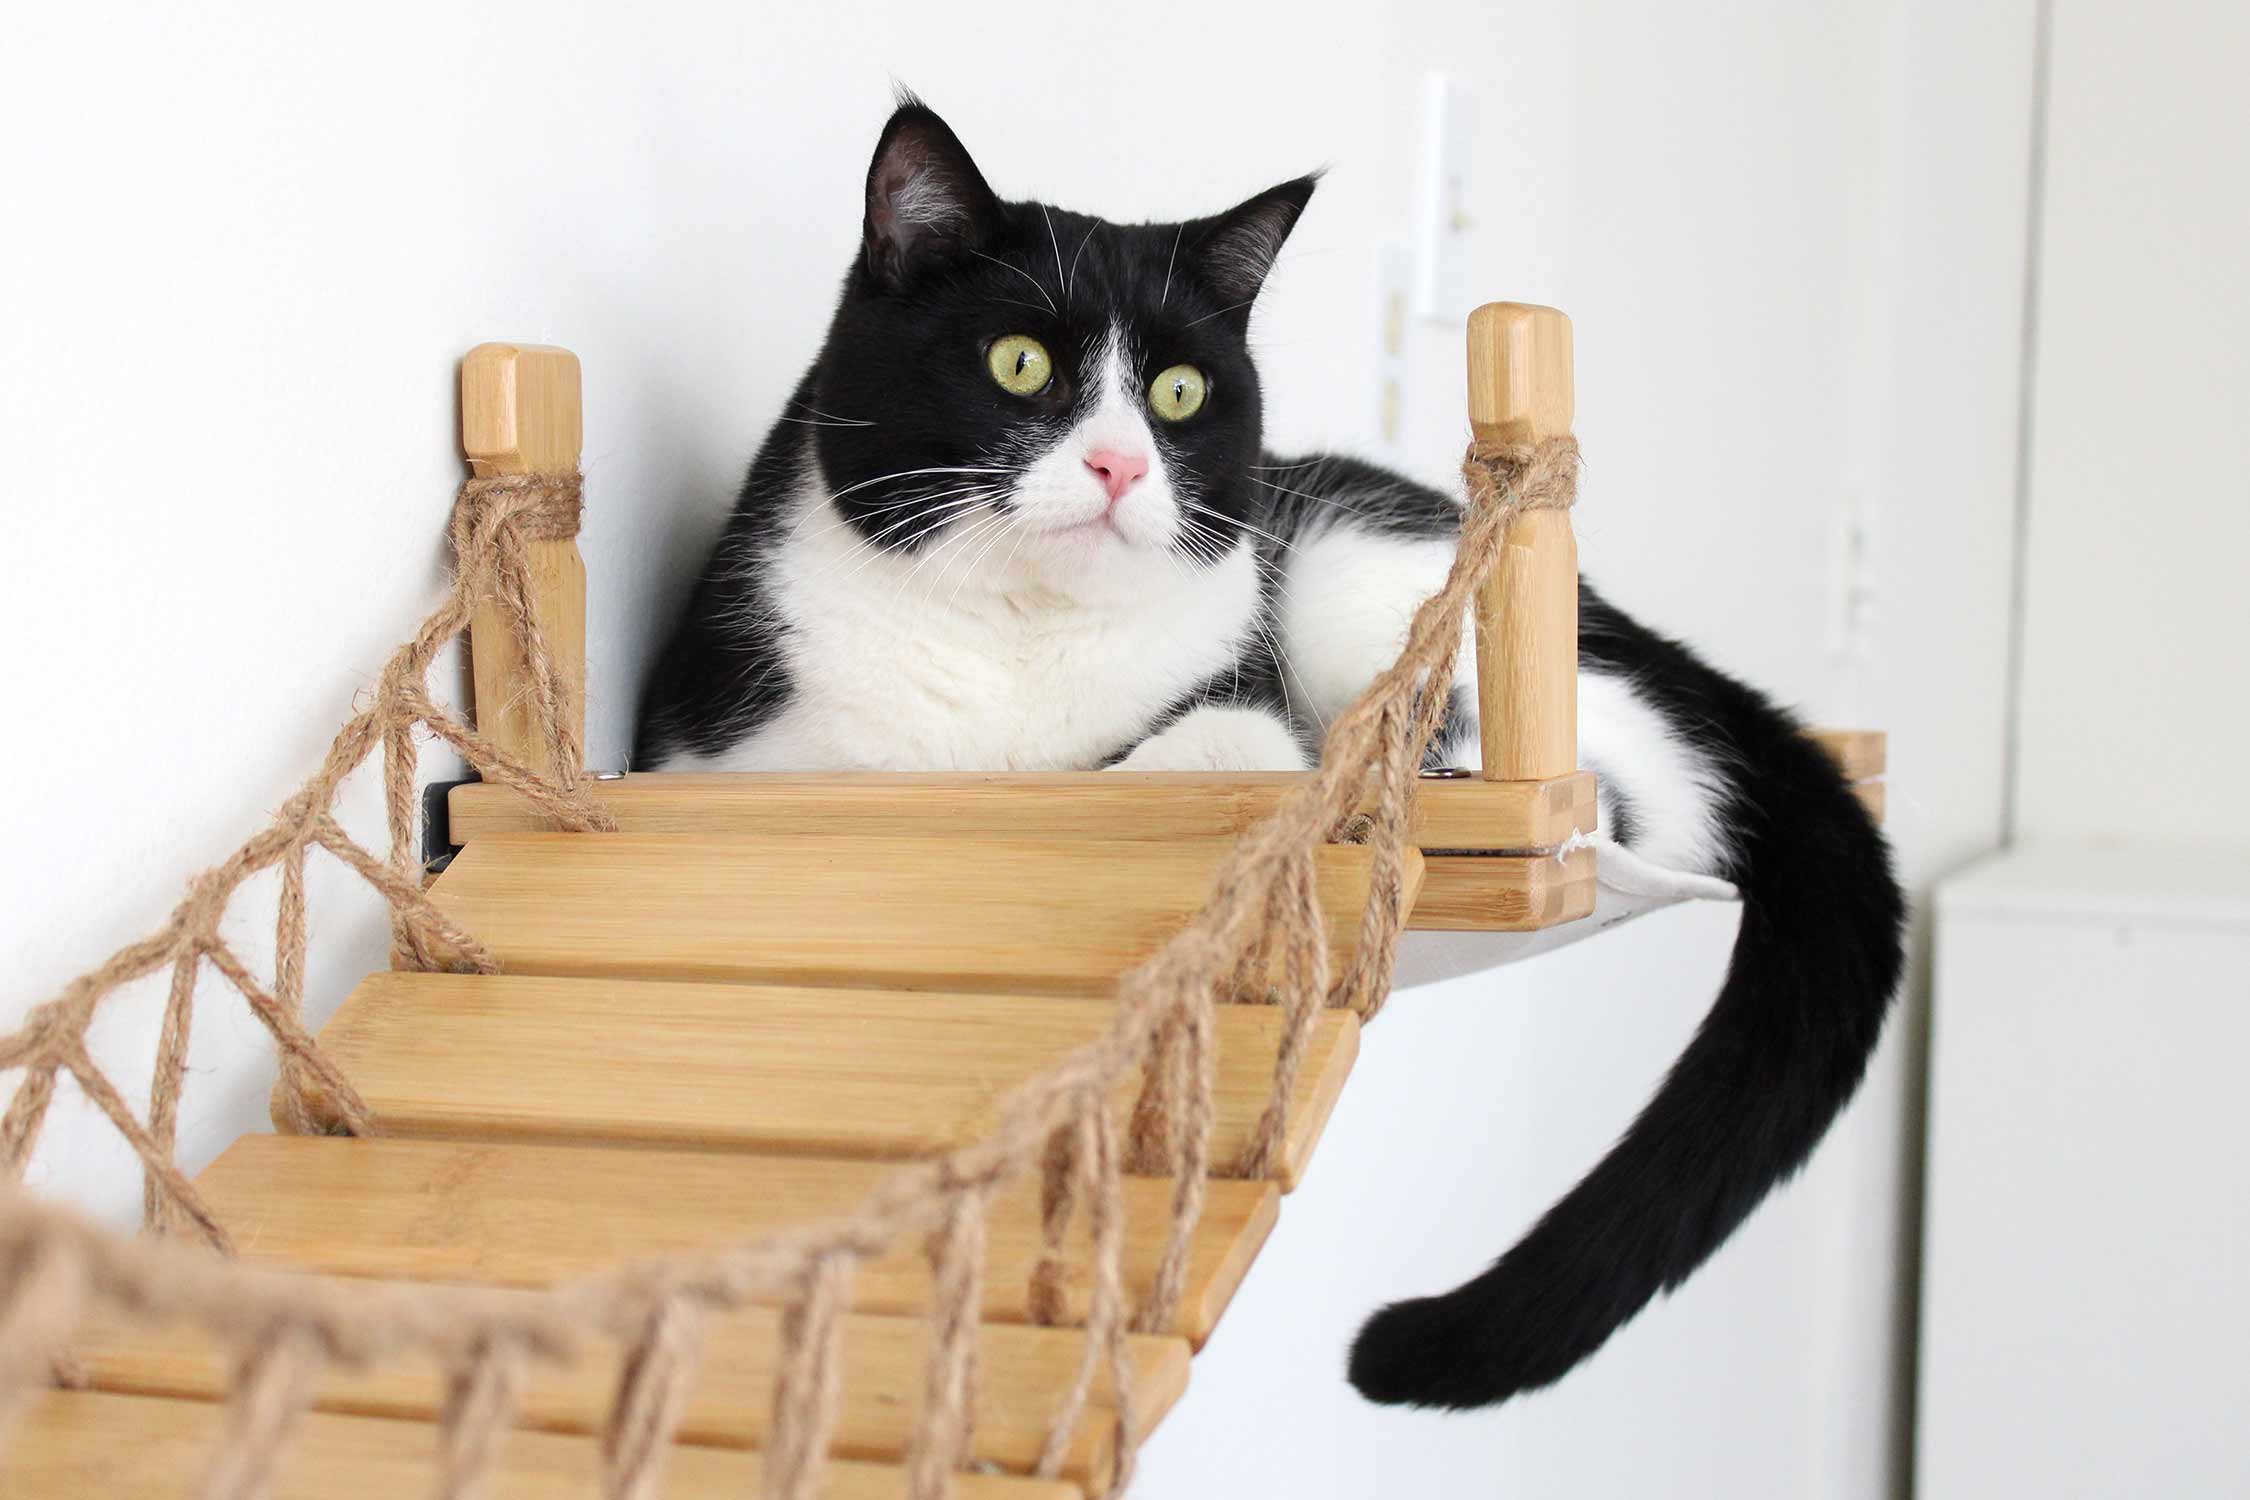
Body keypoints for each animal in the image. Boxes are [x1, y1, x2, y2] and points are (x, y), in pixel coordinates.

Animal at [634, 99, 1899, 1412]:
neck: (1023, 642)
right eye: (1020, 363)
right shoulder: (721, 751)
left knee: (1622, 789)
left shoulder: (1240, 687)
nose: (1121, 464)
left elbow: (1219, 745)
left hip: (1355, 564)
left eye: (1181, 391)